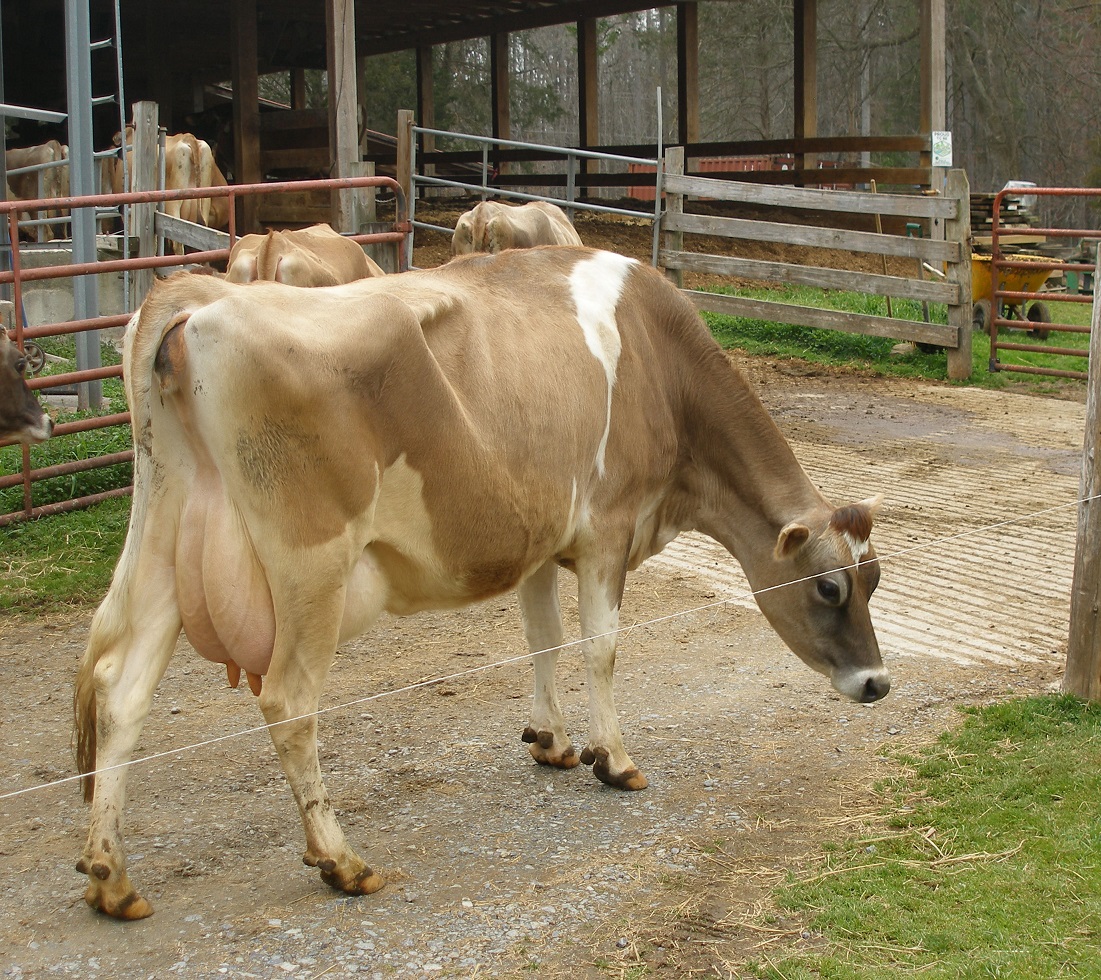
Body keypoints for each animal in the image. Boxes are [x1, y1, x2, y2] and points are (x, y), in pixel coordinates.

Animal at [73, 246, 889, 919]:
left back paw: (112, 876)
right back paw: (340, 860)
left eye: (875, 580)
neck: (663, 368)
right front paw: (615, 760)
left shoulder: (541, 538)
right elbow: (600, 648)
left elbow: (543, 640)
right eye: (828, 588)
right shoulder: (607, 529)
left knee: (119, 690)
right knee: (288, 702)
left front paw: (552, 741)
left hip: (165, 539)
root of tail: (195, 300)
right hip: (312, 562)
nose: (878, 683)